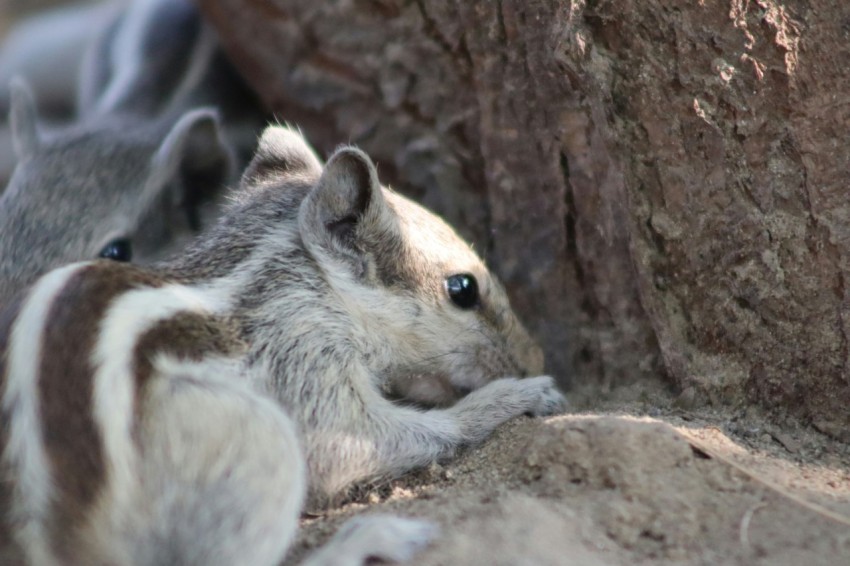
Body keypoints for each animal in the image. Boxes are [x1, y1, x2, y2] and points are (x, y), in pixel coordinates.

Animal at [1, 125, 568, 566]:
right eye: (463, 289)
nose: (533, 357)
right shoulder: (304, 353)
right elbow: (360, 444)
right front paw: (520, 395)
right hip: (259, 441)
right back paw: (365, 537)